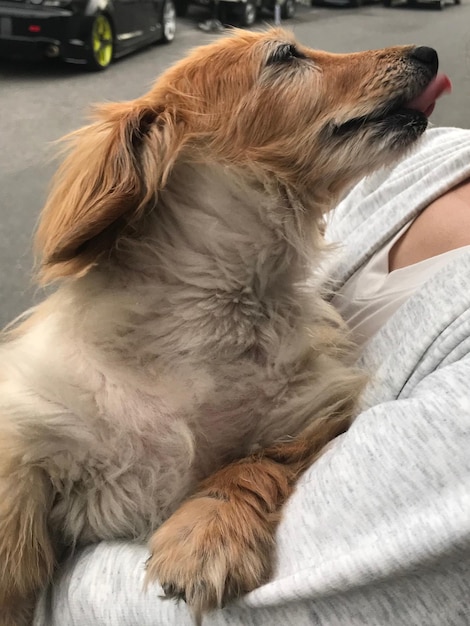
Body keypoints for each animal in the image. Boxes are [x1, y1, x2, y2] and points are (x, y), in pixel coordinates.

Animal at [0, 28, 444, 624]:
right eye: (286, 55)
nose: (428, 53)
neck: (217, 309)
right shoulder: (29, 429)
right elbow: (13, 533)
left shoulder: (310, 415)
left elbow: (253, 463)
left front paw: (207, 534)